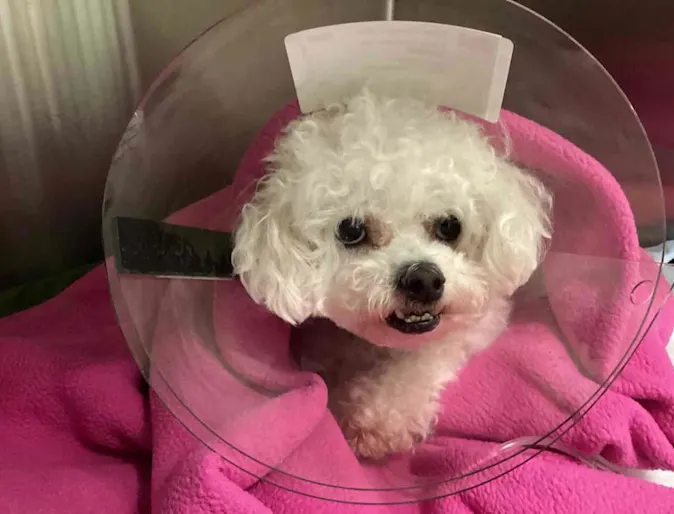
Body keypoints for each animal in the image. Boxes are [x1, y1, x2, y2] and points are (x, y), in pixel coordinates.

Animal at [228, 87, 548, 456]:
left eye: (449, 225)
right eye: (351, 230)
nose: (424, 279)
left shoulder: (480, 320)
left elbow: (426, 356)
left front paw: (378, 420)